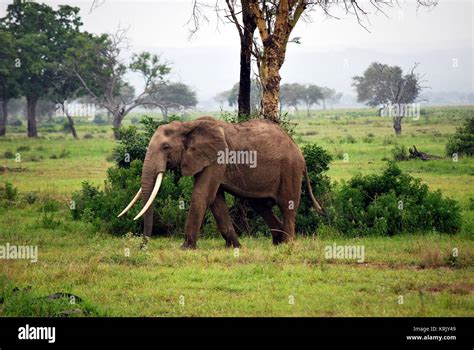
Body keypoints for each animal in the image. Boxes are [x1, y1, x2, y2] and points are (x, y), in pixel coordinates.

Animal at [118, 117, 326, 249]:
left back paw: (287, 245)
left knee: (287, 204)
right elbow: (216, 201)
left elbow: (202, 195)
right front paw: (235, 247)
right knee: (260, 205)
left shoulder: (218, 157)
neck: (188, 125)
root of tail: (298, 149)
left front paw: (185, 248)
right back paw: (277, 242)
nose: (142, 247)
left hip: (290, 169)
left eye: (166, 147)